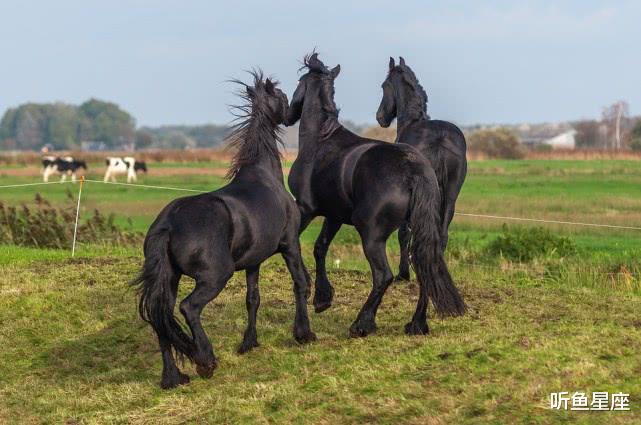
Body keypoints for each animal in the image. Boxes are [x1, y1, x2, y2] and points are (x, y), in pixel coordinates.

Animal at [133, 72, 316, 388]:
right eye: (281, 96)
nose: (294, 113)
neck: (264, 177)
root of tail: (168, 222)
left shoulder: (254, 262)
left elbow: (252, 299)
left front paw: (249, 343)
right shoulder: (290, 244)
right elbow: (300, 283)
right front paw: (304, 334)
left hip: (169, 279)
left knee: (162, 319)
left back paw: (173, 378)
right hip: (215, 277)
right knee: (189, 308)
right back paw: (205, 360)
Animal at [378, 57, 468, 282]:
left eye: (384, 86)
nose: (380, 117)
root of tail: (440, 138)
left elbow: (404, 233)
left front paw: (404, 273)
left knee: (408, 233)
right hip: (450, 195)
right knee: (442, 233)